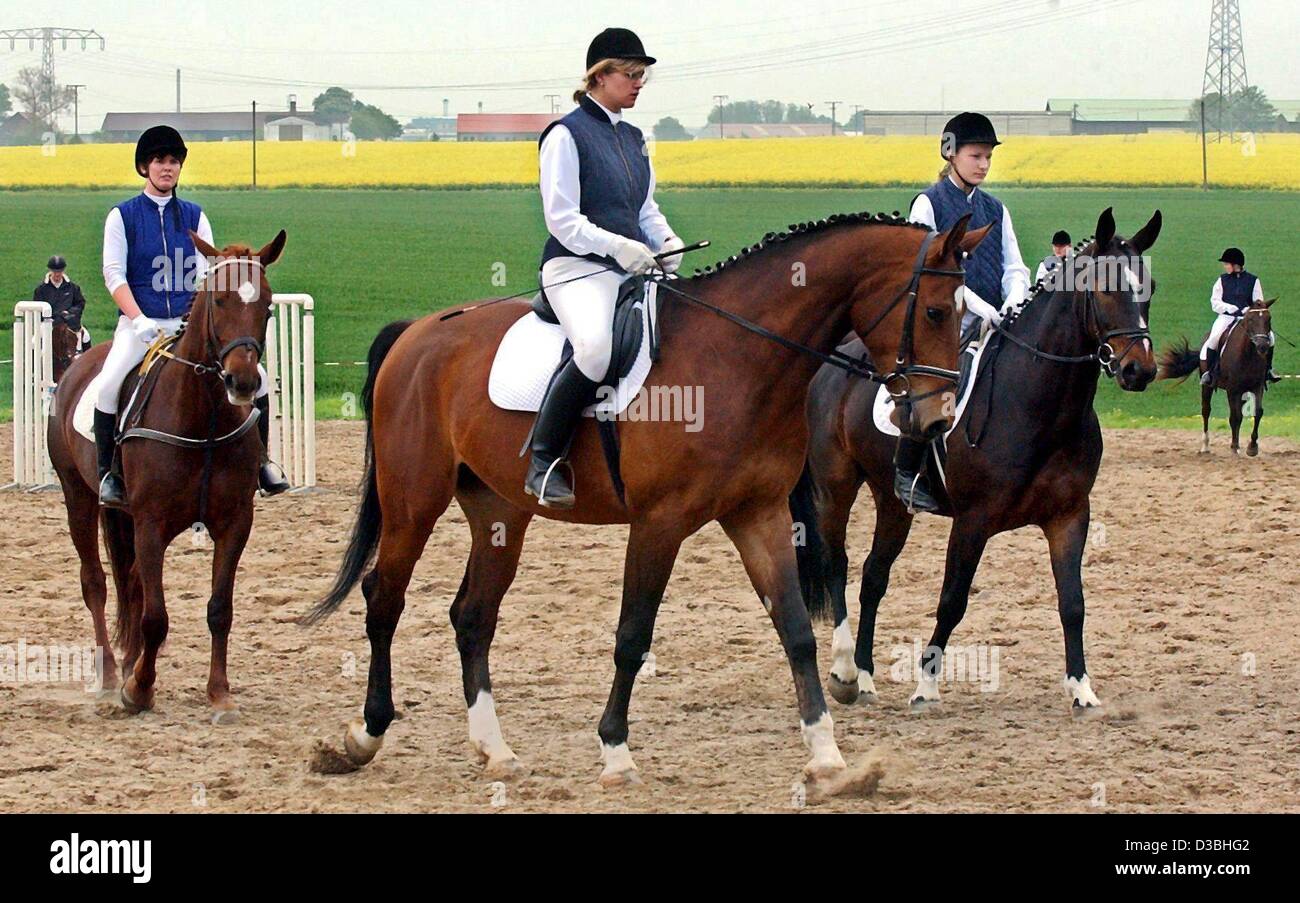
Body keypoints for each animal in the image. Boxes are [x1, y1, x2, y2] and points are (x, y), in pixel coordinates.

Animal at [47, 230, 286, 722]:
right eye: (218, 300)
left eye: (268, 304)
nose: (242, 383)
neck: (202, 416)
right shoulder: (151, 525)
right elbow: (156, 616)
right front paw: (139, 691)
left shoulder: (235, 524)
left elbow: (219, 610)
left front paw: (219, 693)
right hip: (77, 496)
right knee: (95, 582)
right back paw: (110, 674)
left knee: (132, 585)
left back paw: (128, 664)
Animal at [304, 211, 992, 785]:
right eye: (936, 312)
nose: (936, 420)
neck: (740, 357)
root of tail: (416, 333)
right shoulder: (659, 523)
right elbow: (633, 634)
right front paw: (615, 752)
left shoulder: (758, 514)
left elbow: (796, 629)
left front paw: (828, 757)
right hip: (413, 503)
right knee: (384, 600)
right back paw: (365, 736)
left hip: (500, 513)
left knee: (473, 616)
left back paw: (494, 750)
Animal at [789, 208, 1162, 712]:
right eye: (1103, 288)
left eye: (1149, 286)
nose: (1138, 370)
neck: (1037, 404)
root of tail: (834, 360)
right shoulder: (973, 520)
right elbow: (953, 600)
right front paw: (926, 687)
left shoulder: (1069, 516)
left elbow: (1073, 602)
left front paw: (1081, 687)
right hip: (836, 486)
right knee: (837, 565)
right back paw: (845, 671)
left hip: (892, 501)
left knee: (873, 576)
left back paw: (865, 676)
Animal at [1157, 299, 1277, 457]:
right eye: (1251, 320)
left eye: (1268, 319)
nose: (1263, 346)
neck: (1248, 354)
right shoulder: (1232, 389)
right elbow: (1234, 416)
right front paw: (1234, 447)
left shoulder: (1257, 386)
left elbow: (1257, 412)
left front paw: (1252, 447)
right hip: (1207, 386)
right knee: (1206, 411)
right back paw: (1205, 446)